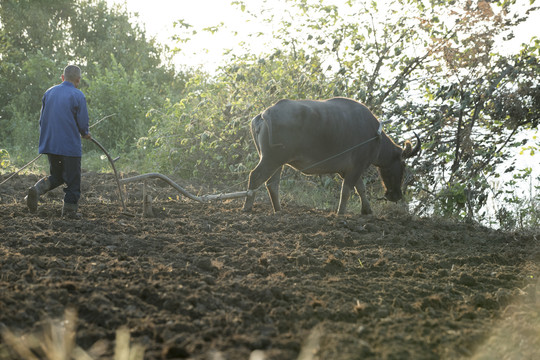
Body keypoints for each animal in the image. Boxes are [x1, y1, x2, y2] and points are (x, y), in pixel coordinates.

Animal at [242, 96, 422, 214]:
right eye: (403, 164)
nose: (395, 195)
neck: (374, 135)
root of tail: (266, 114)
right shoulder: (357, 166)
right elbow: (347, 190)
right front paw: (340, 213)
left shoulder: (349, 169)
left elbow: (360, 189)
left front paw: (367, 210)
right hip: (271, 159)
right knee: (255, 176)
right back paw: (247, 208)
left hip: (277, 161)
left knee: (272, 184)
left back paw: (278, 210)